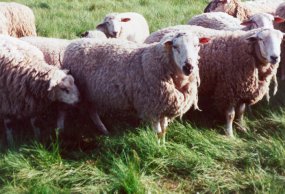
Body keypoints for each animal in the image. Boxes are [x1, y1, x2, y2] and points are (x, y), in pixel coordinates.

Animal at [62, 31, 209, 144]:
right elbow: (158, 131)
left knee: (92, 111)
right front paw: (158, 147)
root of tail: (74, 43)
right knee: (87, 112)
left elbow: (164, 130)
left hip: (93, 94)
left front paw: (164, 145)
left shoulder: (165, 106)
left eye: (197, 45)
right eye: (175, 46)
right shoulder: (152, 107)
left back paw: (104, 130)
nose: (189, 67)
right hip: (82, 92)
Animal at [145, 26, 282, 138]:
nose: (275, 57)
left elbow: (241, 111)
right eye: (261, 39)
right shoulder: (228, 90)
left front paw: (242, 127)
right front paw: (230, 134)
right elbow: (230, 115)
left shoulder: (244, 90)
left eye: (281, 40)